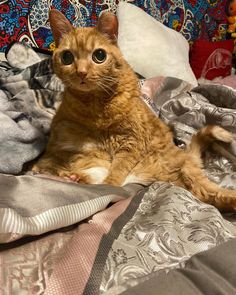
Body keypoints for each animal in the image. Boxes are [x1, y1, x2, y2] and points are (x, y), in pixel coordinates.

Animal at [32, 9, 235, 212]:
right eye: (67, 57)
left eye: (99, 55)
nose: (81, 72)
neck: (97, 106)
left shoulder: (131, 142)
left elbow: (115, 174)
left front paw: (108, 182)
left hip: (188, 173)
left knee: (213, 193)